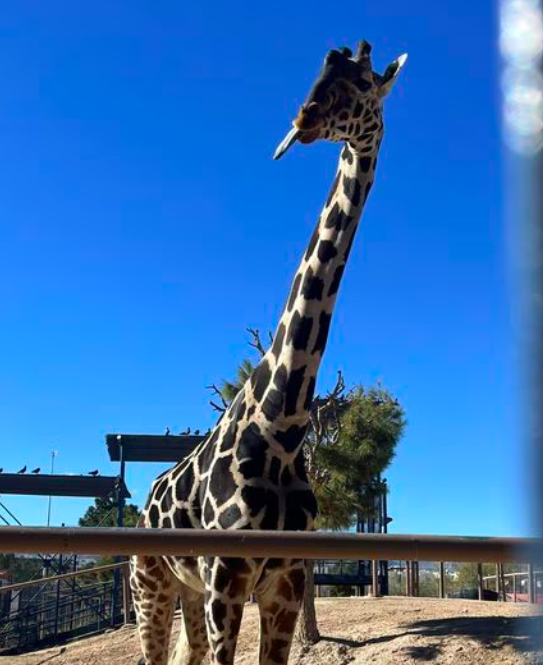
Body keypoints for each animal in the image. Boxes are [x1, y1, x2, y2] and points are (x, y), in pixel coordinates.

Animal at [131, 41, 404, 664]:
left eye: (360, 85)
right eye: (319, 71)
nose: (302, 121)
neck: (283, 424)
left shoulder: (285, 577)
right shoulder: (227, 577)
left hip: (186, 590)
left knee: (186, 653)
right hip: (150, 584)